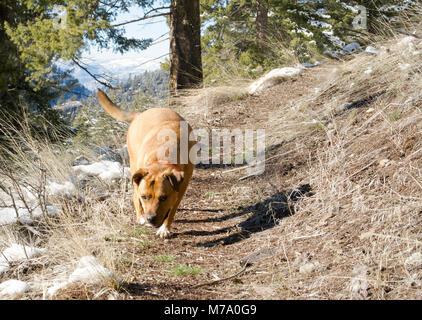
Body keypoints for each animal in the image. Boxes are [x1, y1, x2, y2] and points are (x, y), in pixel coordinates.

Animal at [97, 89, 195, 238]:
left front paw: (165, 228)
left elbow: (172, 209)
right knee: (134, 193)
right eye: (144, 197)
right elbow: (137, 197)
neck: (162, 157)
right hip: (134, 166)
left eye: (163, 197)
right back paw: (140, 216)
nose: (150, 219)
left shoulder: (182, 186)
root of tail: (140, 114)